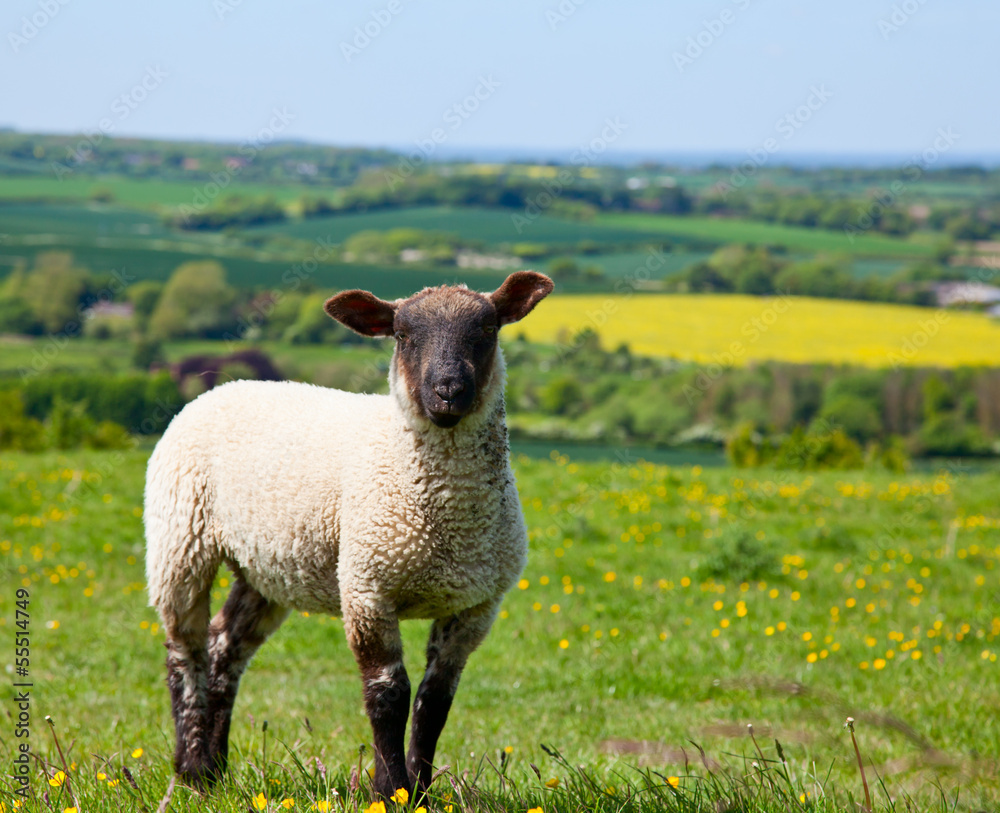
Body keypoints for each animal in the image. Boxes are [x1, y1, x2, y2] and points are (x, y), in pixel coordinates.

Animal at [144, 270, 554, 798]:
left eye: (487, 330)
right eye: (403, 334)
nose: (447, 390)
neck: (446, 524)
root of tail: (223, 385)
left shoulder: (476, 606)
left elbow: (434, 701)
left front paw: (421, 791)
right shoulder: (366, 587)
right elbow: (388, 695)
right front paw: (391, 790)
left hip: (265, 567)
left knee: (224, 649)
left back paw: (217, 772)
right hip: (180, 536)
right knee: (184, 649)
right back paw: (191, 768)